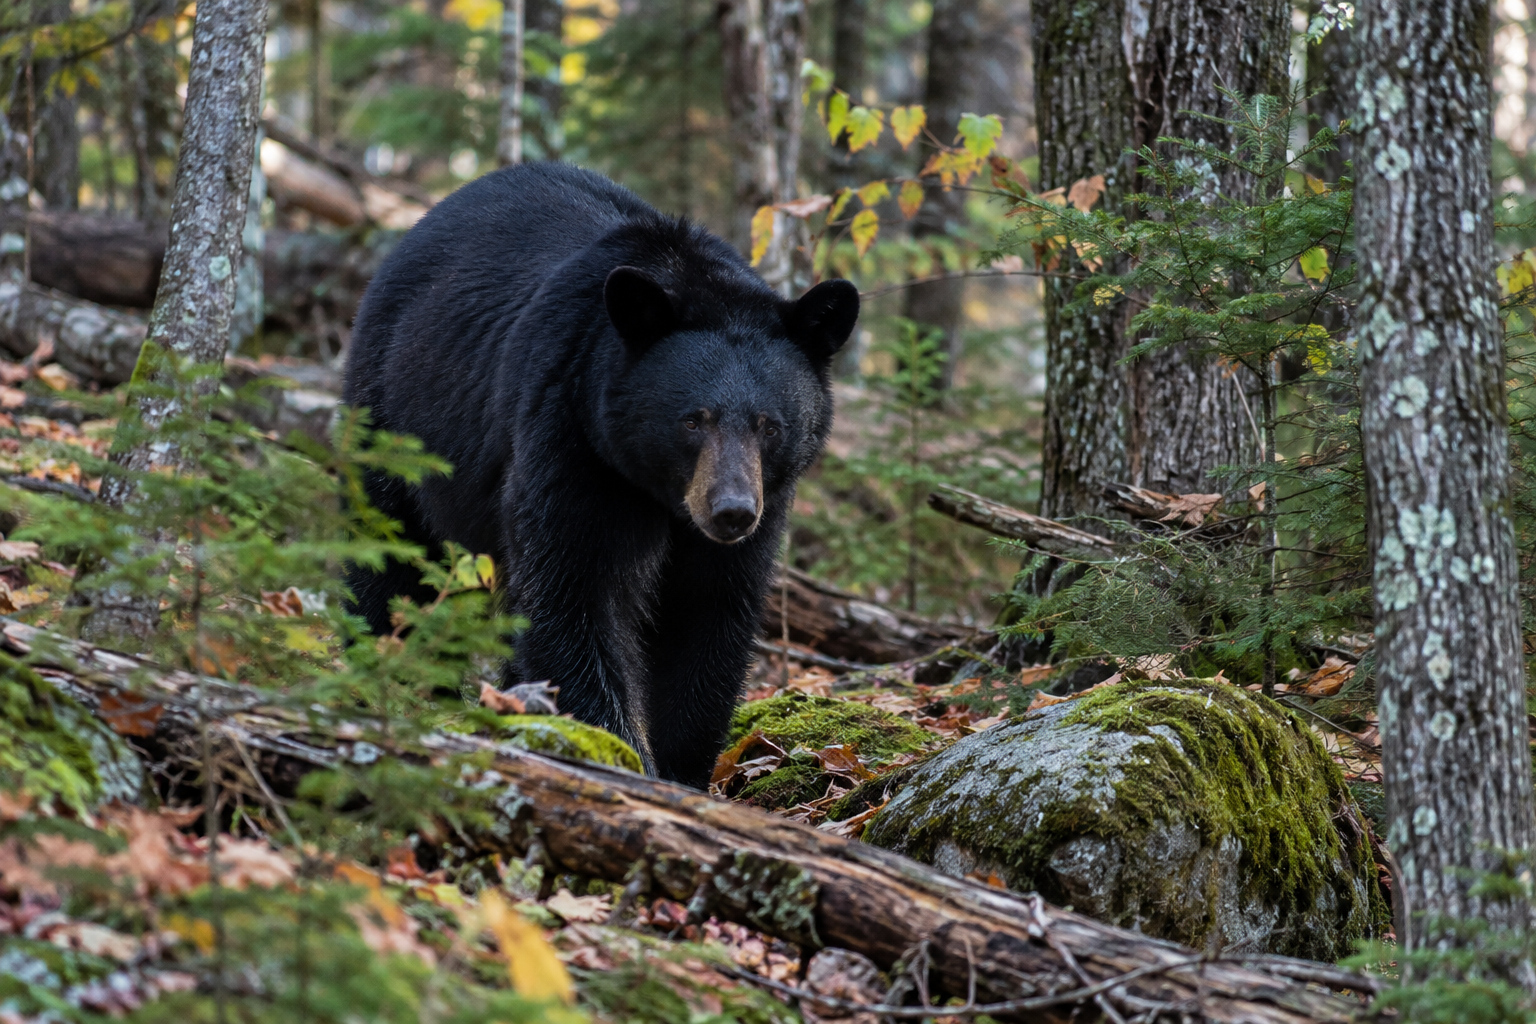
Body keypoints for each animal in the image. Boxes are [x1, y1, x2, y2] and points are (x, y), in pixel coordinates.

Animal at [343, 162, 859, 788]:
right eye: (693, 419)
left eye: (771, 425)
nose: (732, 511)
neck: (659, 494)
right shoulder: (570, 437)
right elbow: (573, 590)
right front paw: (617, 752)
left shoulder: (759, 508)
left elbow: (709, 614)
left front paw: (681, 771)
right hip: (396, 416)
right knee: (388, 548)